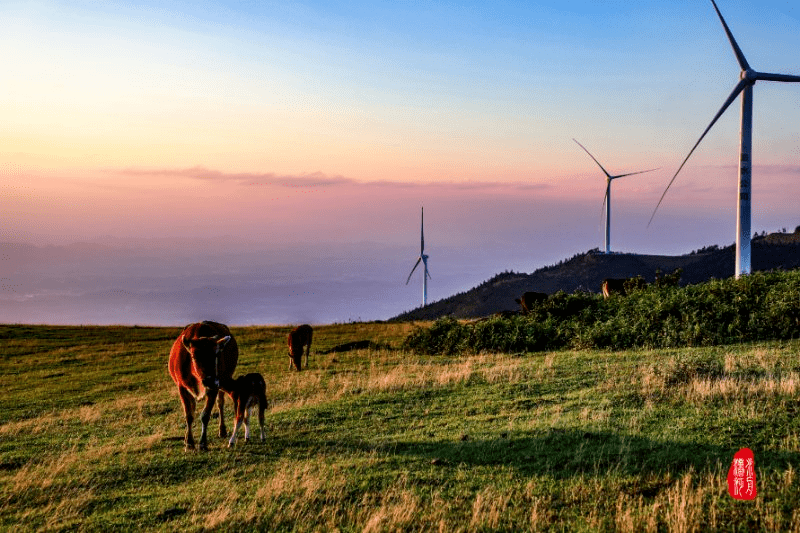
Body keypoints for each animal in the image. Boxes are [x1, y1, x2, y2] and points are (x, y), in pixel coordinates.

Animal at [168, 320, 238, 448]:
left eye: (217, 354)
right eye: (194, 356)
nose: (209, 380)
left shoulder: (214, 387)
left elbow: (205, 415)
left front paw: (202, 443)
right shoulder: (182, 387)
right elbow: (189, 414)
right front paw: (189, 442)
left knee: (220, 403)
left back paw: (222, 430)